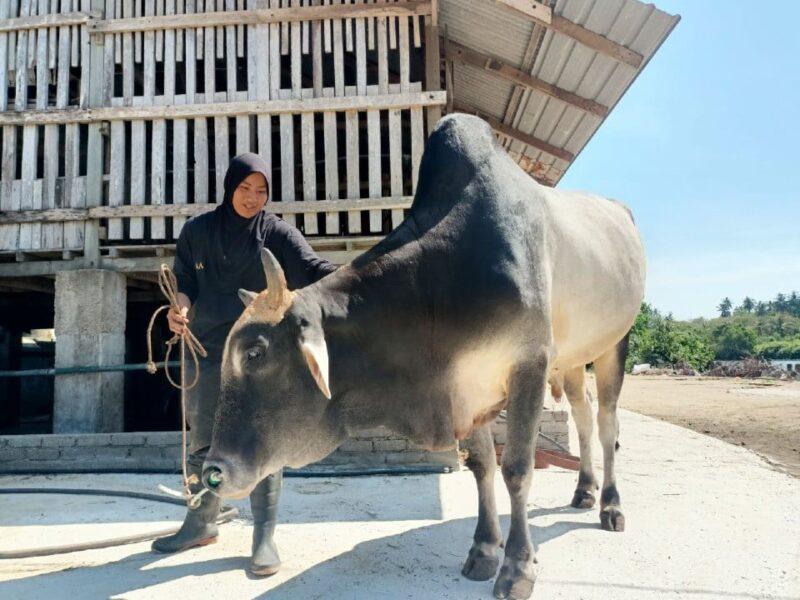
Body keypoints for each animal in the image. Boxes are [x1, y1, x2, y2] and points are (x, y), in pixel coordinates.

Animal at [203, 113, 648, 600]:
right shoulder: (469, 388)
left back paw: (610, 506)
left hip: (615, 342)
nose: (212, 472)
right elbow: (481, 465)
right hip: (571, 360)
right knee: (584, 418)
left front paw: (517, 567)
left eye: (255, 351)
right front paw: (483, 551)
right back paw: (584, 491)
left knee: (607, 425)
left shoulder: (528, 364)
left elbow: (516, 468)